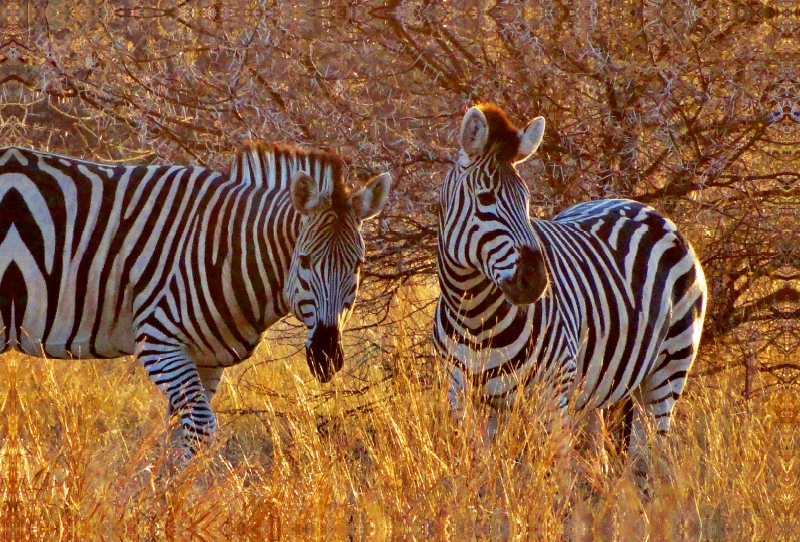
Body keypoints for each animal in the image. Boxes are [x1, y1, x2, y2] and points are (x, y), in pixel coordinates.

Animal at [0, 143, 390, 460]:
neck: (229, 250)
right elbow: (200, 429)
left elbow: (178, 440)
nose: (326, 356)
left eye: (358, 265)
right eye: (306, 261)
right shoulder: (159, 343)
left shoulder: (206, 359)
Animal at [438, 103, 708, 480]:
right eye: (485, 199)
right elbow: (481, 475)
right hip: (597, 387)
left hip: (667, 371)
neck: (476, 316)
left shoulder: (552, 394)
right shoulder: (460, 395)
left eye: (526, 200)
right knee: (602, 458)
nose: (536, 280)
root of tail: (647, 208)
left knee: (647, 459)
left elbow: (554, 477)